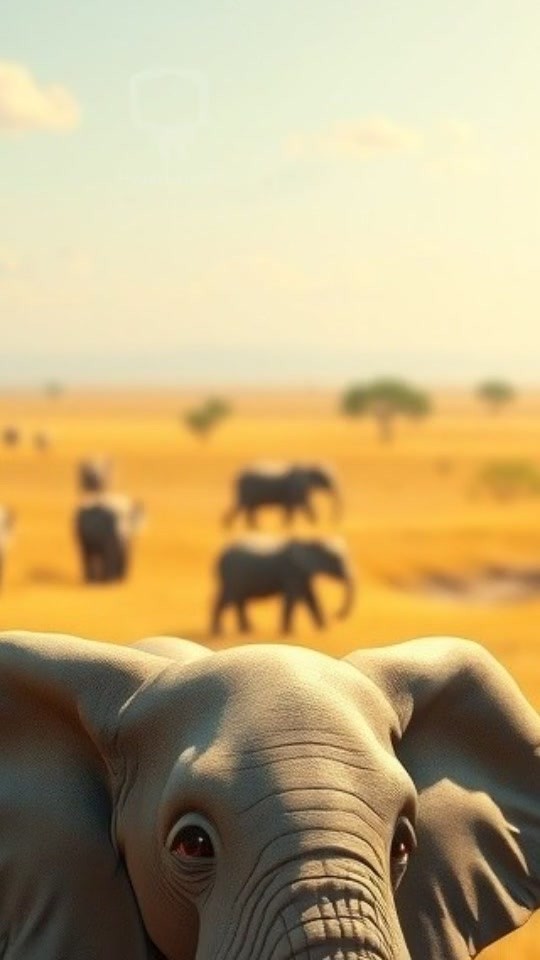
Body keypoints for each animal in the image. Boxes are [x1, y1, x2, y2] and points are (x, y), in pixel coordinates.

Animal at [211, 536, 355, 635]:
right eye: (336, 560)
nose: (336, 615)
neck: (309, 542)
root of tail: (219, 556)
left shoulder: (302, 573)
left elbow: (311, 597)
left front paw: (323, 629)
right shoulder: (292, 571)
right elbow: (294, 598)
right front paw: (288, 633)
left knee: (237, 600)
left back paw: (246, 630)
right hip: (232, 577)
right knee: (226, 600)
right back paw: (219, 632)